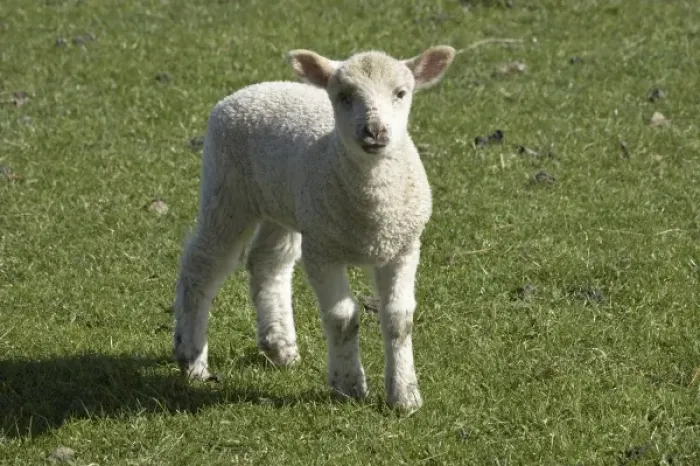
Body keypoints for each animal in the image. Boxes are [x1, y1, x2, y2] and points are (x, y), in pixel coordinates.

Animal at [173, 45, 455, 411]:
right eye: (343, 96)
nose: (375, 131)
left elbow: (399, 319)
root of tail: (255, 88)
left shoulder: (404, 247)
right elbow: (343, 317)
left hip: (284, 206)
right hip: (226, 191)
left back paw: (279, 345)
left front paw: (405, 395)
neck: (373, 214)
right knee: (203, 263)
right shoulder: (322, 250)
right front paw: (348, 386)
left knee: (268, 262)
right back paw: (192, 359)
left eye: (401, 93)